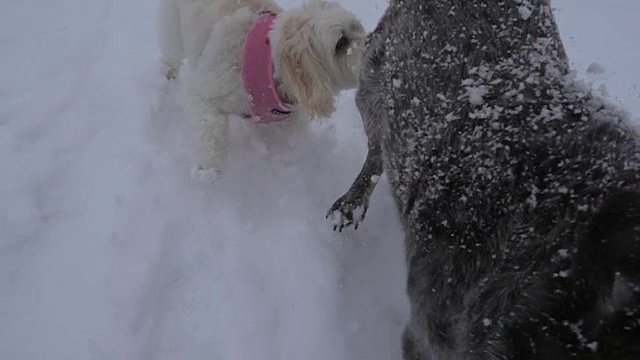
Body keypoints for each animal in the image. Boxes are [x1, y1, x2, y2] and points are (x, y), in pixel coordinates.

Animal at [156, 0, 364, 180]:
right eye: (341, 43)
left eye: (356, 27)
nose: (370, 41)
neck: (268, 65)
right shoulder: (207, 93)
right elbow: (210, 132)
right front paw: (209, 170)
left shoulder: (288, 120)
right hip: (172, 24)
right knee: (171, 49)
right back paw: (168, 72)